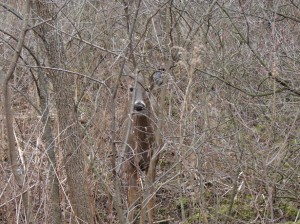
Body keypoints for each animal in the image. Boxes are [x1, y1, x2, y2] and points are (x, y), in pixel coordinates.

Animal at [125, 69, 164, 223]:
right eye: (131, 88)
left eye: (147, 88)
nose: (139, 105)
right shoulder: (130, 163)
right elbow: (132, 197)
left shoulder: (152, 162)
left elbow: (149, 198)